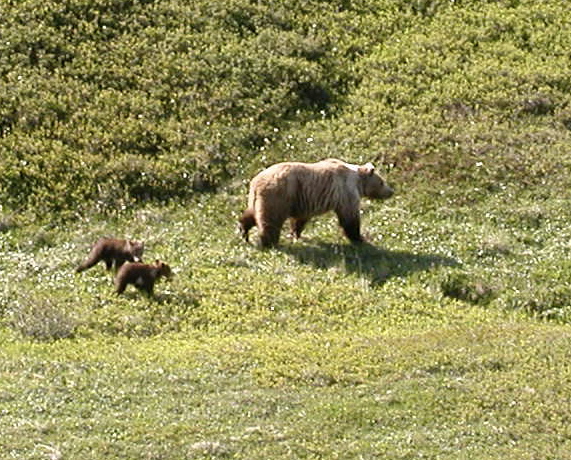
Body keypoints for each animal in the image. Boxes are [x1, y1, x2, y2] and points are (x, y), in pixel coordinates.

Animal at [239, 160, 396, 250]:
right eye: (382, 182)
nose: (391, 191)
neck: (358, 181)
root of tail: (256, 182)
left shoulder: (304, 200)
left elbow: (300, 219)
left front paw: (296, 234)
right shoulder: (345, 191)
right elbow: (349, 218)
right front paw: (359, 238)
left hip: (258, 199)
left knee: (251, 214)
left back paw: (243, 230)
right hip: (278, 196)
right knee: (271, 221)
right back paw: (269, 243)